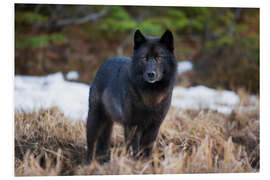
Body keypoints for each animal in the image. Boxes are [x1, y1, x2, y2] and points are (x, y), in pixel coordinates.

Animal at [85, 29, 176, 163]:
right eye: (144, 58)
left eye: (159, 57)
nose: (151, 74)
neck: (150, 97)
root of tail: (104, 63)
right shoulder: (133, 125)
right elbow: (133, 148)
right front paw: (133, 163)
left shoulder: (154, 126)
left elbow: (147, 149)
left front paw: (146, 164)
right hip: (95, 119)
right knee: (91, 144)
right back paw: (88, 163)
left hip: (108, 124)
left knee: (103, 145)